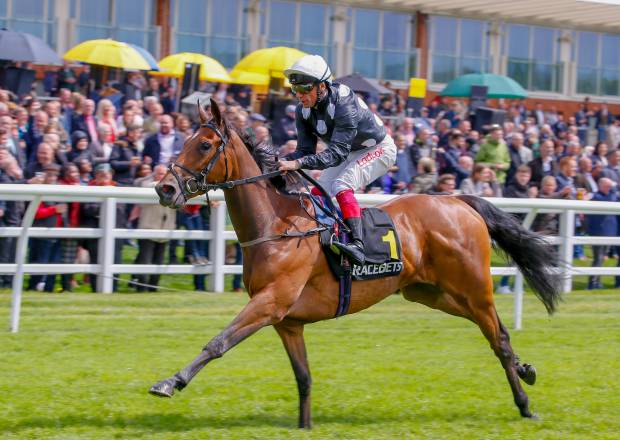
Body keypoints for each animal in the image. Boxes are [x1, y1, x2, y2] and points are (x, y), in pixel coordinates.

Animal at [150, 99, 560, 426]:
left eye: (204, 144)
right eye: (184, 141)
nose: (164, 188)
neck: (277, 224)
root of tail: (459, 202)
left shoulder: (270, 303)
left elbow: (217, 343)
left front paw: (170, 382)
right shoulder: (287, 321)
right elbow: (303, 378)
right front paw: (305, 426)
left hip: (473, 287)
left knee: (499, 337)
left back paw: (525, 405)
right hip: (432, 293)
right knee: (490, 331)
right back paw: (525, 369)